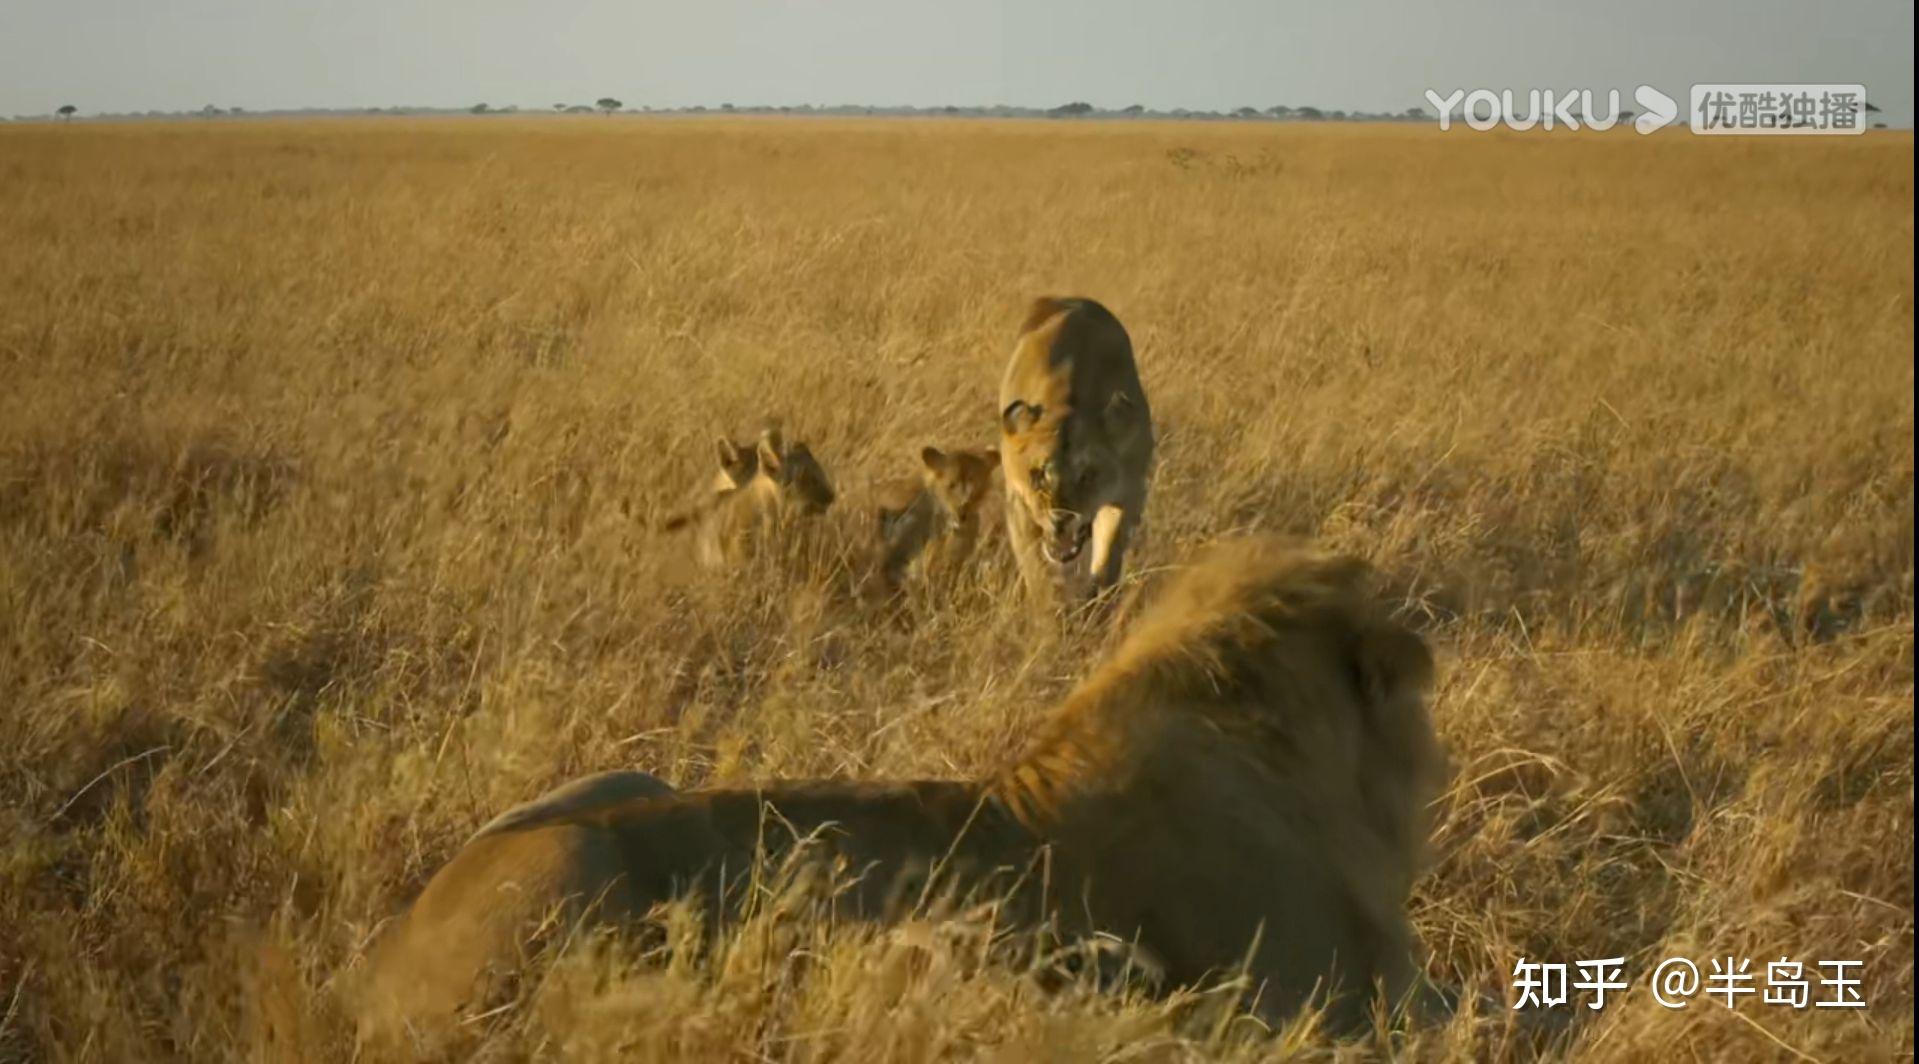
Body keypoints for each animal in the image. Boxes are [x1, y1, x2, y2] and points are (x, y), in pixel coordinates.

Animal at [1005, 297, 1151, 599]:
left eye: (1087, 476)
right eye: (1038, 475)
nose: (1060, 521)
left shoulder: (1129, 494)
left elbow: (1108, 558)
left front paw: (1098, 601)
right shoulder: (1017, 502)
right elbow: (1037, 574)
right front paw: (1052, 609)